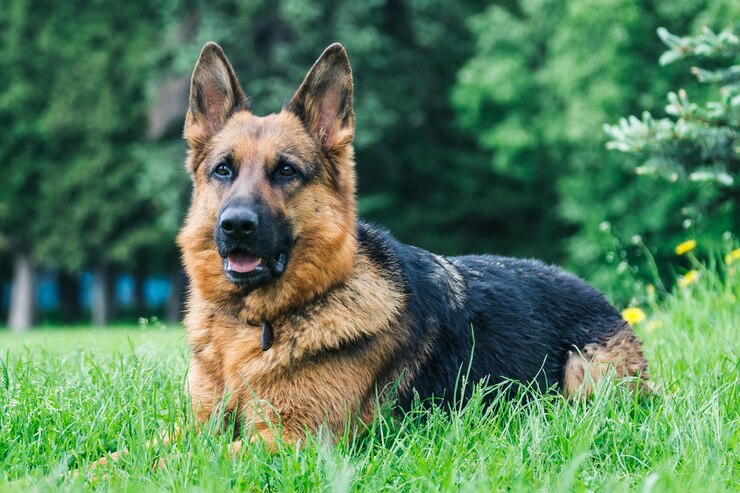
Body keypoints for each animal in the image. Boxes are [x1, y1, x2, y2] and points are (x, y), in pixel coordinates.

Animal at [175, 40, 648, 444]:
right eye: (223, 170)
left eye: (286, 171)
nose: (236, 225)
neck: (255, 324)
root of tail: (601, 297)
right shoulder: (198, 428)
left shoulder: (288, 440)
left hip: (585, 376)